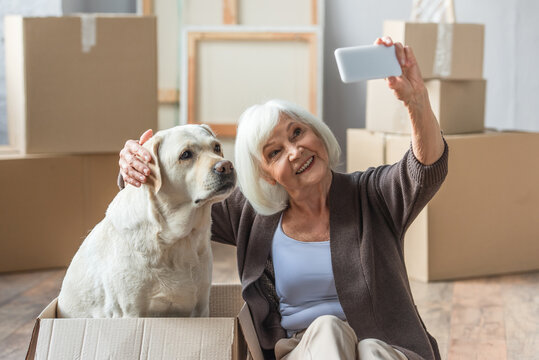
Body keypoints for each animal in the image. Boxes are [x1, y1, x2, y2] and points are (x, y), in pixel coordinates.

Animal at [57, 124, 236, 318]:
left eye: (216, 147)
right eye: (186, 154)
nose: (226, 166)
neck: (176, 240)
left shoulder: (201, 306)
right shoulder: (130, 312)